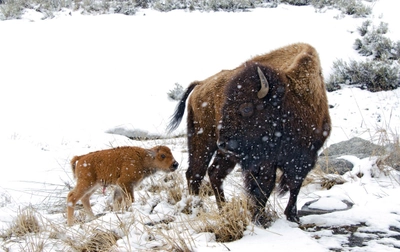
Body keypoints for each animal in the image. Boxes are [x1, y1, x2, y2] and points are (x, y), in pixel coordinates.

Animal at [167, 42, 330, 224]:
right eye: (225, 106)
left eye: (246, 108)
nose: (223, 143)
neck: (291, 98)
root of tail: (201, 84)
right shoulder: (264, 161)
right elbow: (264, 185)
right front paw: (260, 217)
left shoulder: (304, 157)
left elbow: (294, 185)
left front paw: (292, 216)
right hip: (202, 141)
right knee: (195, 173)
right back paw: (197, 208)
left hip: (224, 154)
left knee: (213, 173)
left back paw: (223, 209)